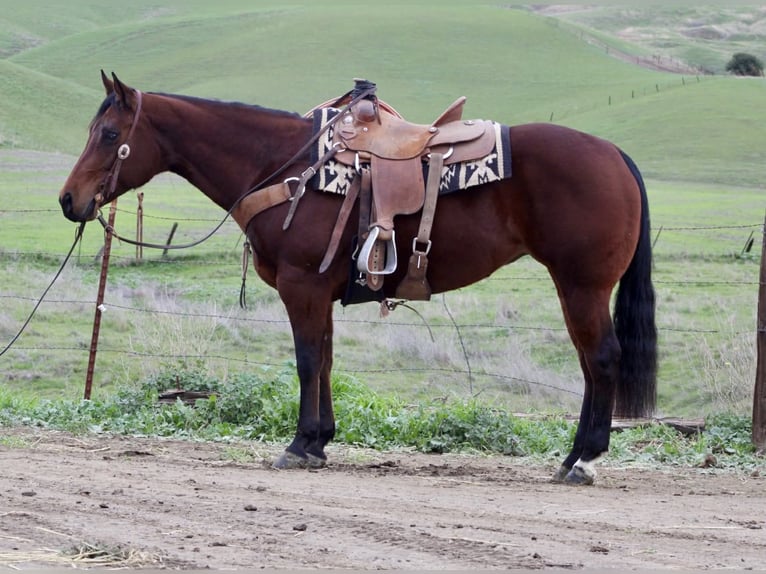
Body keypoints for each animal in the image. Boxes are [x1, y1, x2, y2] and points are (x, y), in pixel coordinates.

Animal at [59, 73, 657, 485]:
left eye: (109, 133)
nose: (69, 200)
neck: (284, 166)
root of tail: (615, 155)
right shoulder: (319, 292)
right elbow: (324, 360)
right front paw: (320, 442)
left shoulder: (301, 286)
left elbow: (306, 361)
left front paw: (298, 444)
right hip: (575, 287)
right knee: (590, 365)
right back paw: (573, 455)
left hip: (582, 286)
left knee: (602, 359)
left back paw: (584, 459)